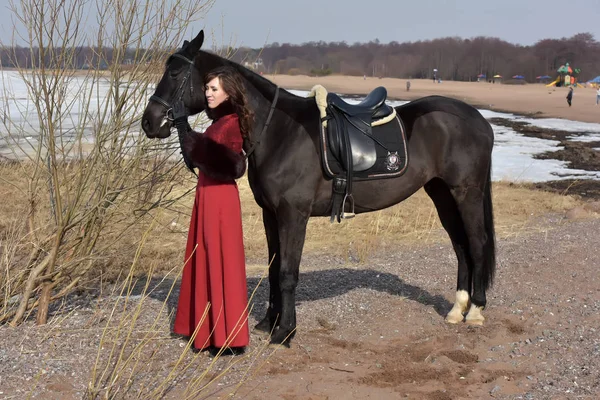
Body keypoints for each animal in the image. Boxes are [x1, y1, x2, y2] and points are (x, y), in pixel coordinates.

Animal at [142, 31, 496, 346]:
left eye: (175, 72)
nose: (149, 121)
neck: (278, 132)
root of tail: (478, 119)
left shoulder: (293, 215)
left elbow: (287, 272)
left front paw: (285, 332)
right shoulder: (271, 215)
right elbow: (273, 267)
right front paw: (269, 322)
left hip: (466, 193)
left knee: (477, 244)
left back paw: (476, 311)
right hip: (442, 194)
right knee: (461, 246)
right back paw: (457, 309)